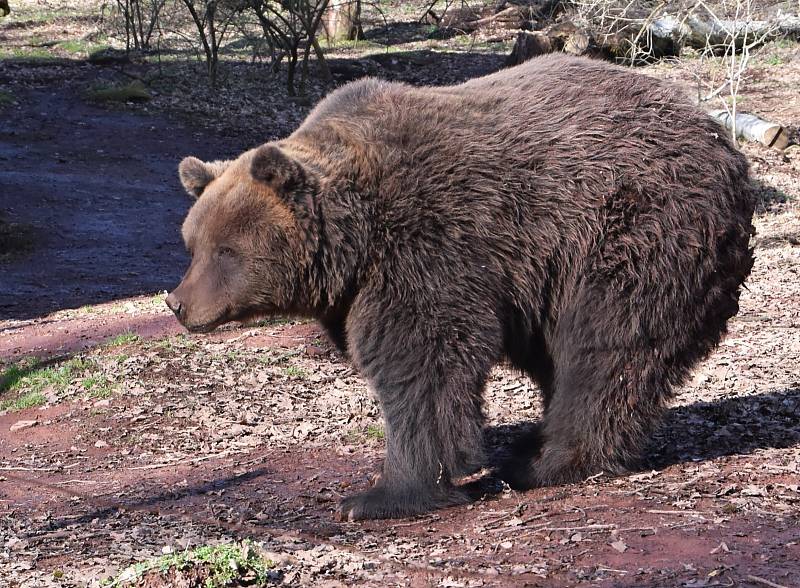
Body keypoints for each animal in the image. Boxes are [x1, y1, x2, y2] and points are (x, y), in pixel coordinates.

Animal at [166, 54, 752, 520]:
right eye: (192, 242)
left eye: (227, 250)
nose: (178, 303)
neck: (354, 243)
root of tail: (720, 139)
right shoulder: (362, 290)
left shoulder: (431, 246)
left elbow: (423, 363)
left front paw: (381, 495)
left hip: (628, 234)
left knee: (604, 351)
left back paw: (550, 461)